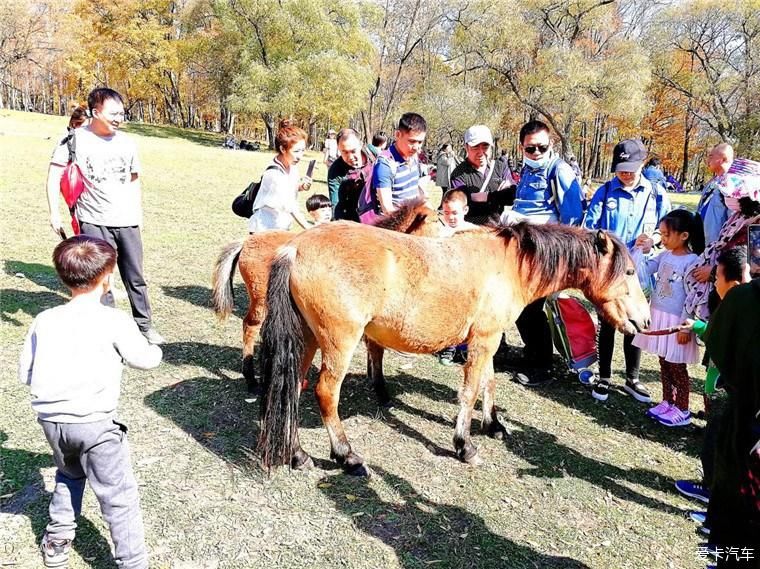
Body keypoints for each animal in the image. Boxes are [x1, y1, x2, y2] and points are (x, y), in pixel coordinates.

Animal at [211, 199, 442, 390]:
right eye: (437, 220)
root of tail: (245, 242)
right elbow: (376, 350)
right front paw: (379, 388)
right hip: (260, 303)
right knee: (250, 327)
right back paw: (250, 377)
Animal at [258, 221, 652, 474]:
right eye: (629, 273)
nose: (646, 321)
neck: (510, 264)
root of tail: (296, 248)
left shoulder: (487, 338)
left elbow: (488, 383)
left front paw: (493, 425)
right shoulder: (483, 340)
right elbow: (470, 391)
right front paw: (465, 445)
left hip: (307, 340)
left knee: (293, 388)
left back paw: (297, 455)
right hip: (339, 342)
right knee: (325, 393)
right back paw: (346, 455)